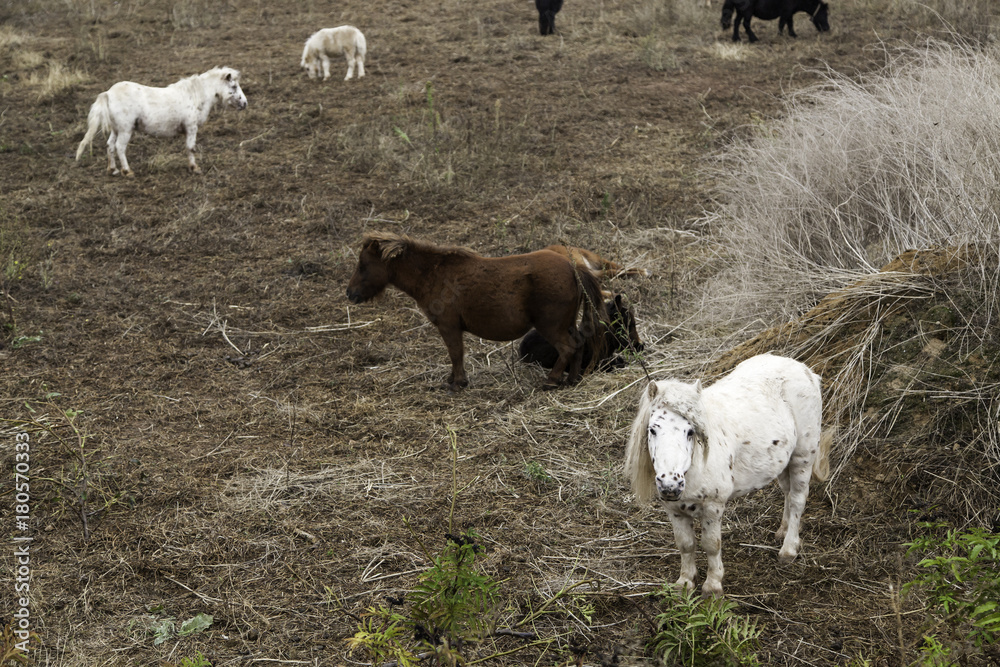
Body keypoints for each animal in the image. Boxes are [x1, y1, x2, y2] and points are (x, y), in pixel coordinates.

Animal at [75, 66, 247, 178]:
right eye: (234, 86)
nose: (245, 103)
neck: (195, 95)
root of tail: (108, 93)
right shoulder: (191, 128)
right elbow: (191, 148)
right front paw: (194, 168)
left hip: (116, 130)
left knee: (110, 146)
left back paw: (113, 170)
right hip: (125, 130)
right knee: (119, 147)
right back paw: (127, 172)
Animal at [346, 232, 604, 391]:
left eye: (363, 265)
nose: (350, 293)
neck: (433, 273)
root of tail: (574, 267)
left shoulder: (449, 327)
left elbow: (455, 353)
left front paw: (457, 383)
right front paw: (454, 380)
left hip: (551, 327)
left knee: (567, 348)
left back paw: (551, 381)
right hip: (566, 324)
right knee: (578, 344)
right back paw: (572, 379)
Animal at [623, 353, 831, 597]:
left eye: (690, 431)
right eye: (653, 429)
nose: (670, 485)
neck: (693, 466)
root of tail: (804, 369)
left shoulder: (713, 508)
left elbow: (711, 545)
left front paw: (712, 586)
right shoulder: (674, 510)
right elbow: (685, 544)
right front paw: (685, 582)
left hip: (803, 455)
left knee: (798, 498)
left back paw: (788, 549)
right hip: (783, 461)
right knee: (788, 493)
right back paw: (783, 530)